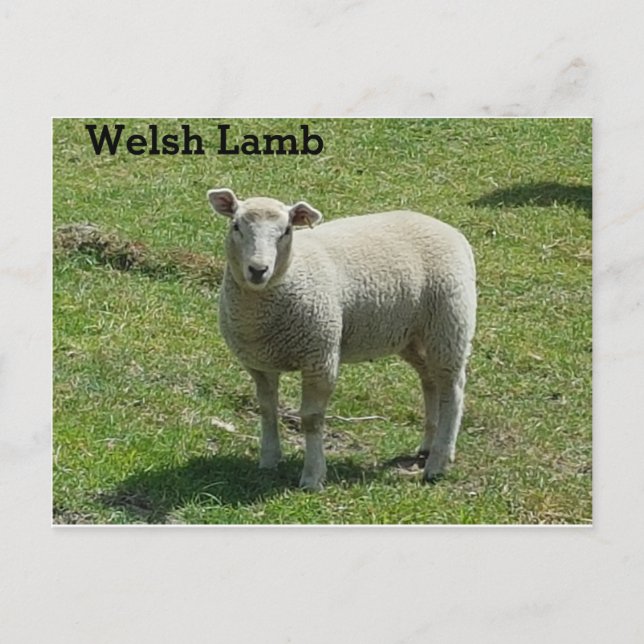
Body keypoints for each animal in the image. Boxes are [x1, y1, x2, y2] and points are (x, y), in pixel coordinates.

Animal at [208, 188, 476, 491]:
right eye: (236, 226)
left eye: (286, 231)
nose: (257, 270)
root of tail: (451, 231)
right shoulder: (259, 364)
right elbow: (267, 409)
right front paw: (269, 459)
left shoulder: (320, 356)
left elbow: (311, 419)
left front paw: (313, 476)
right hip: (411, 334)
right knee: (430, 380)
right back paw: (428, 446)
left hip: (449, 323)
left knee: (452, 390)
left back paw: (438, 462)